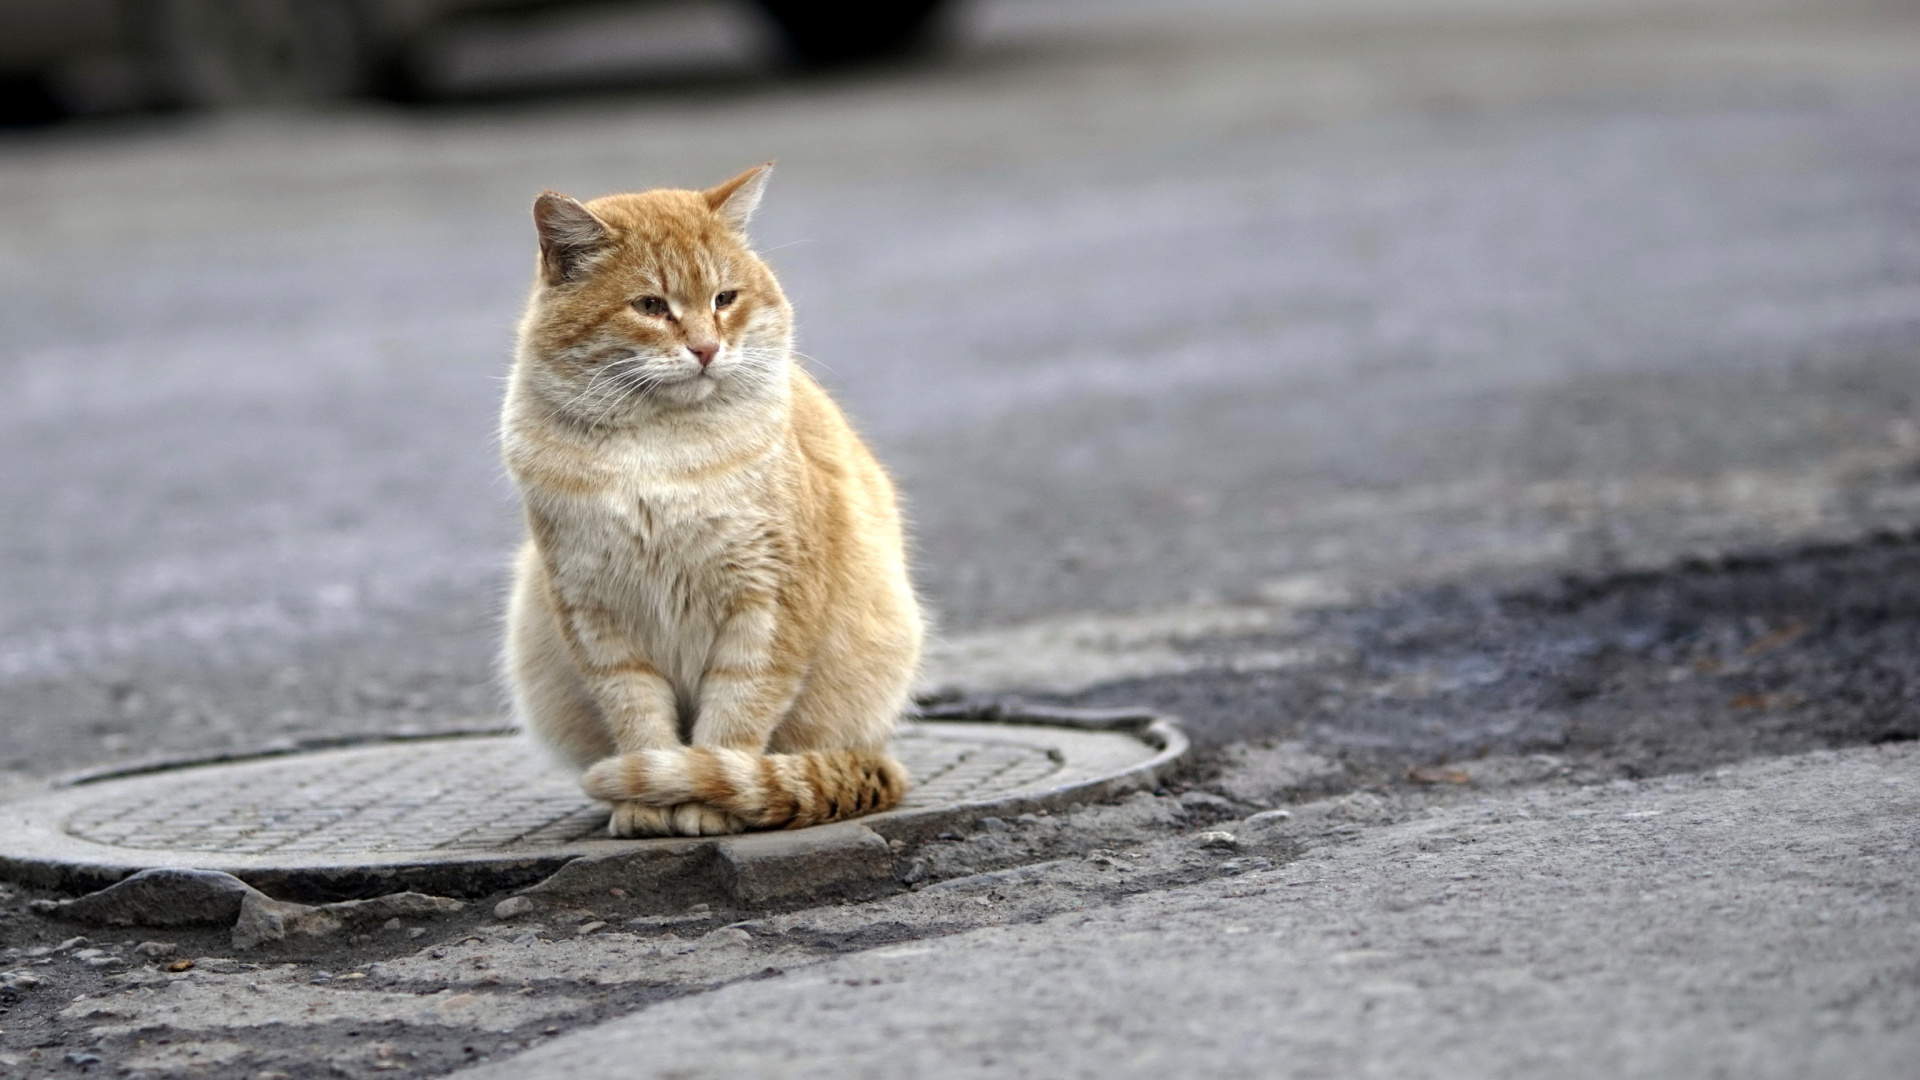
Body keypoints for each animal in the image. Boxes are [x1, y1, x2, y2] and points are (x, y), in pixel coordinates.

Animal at [491, 161, 917, 834]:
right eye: (649, 306)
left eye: (724, 299)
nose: (706, 348)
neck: (657, 449)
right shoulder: (596, 615)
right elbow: (639, 718)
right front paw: (645, 803)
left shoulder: (768, 605)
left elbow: (734, 719)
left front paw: (702, 801)